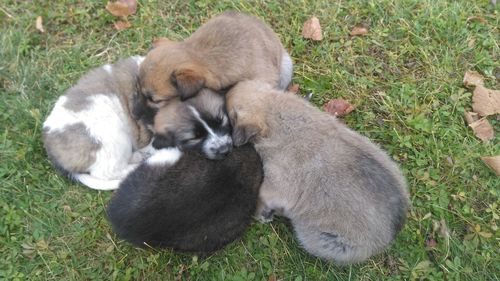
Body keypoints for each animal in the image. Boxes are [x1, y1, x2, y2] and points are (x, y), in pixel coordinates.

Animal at [227, 80, 410, 264]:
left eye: (230, 115)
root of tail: (390, 237)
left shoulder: (276, 185)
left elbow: (263, 197)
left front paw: (260, 214)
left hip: (318, 239)